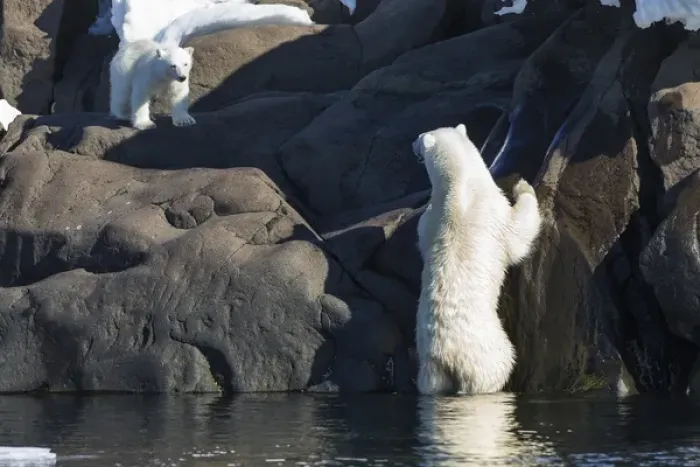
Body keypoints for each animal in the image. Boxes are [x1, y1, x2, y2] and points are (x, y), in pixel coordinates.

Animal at [413, 123, 542, 395]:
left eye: (419, 137)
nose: (412, 144)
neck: (459, 184)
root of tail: (446, 356)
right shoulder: (494, 210)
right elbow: (518, 233)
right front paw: (523, 186)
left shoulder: (428, 221)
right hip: (485, 352)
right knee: (500, 364)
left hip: (429, 369)